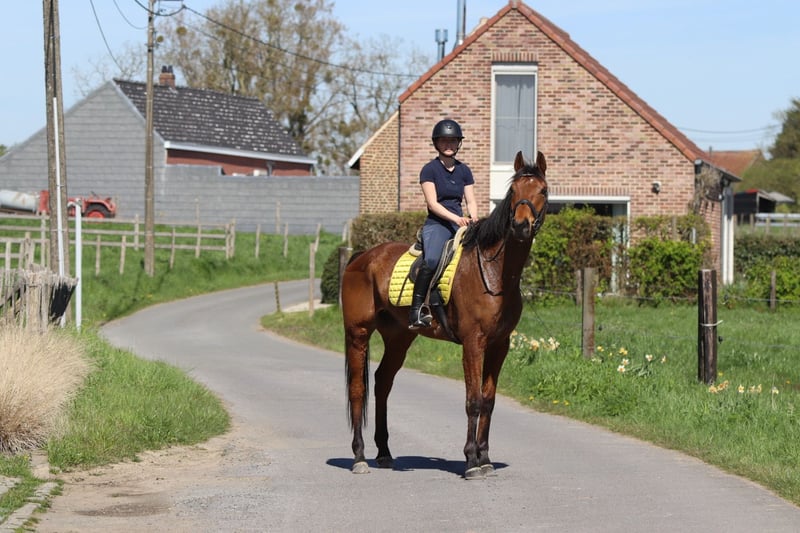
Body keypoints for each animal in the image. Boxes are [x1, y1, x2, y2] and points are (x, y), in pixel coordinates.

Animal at [342, 150, 548, 479]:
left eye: (541, 190)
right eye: (514, 191)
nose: (520, 226)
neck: (495, 272)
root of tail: (361, 257)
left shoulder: (499, 345)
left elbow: (488, 400)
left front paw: (485, 458)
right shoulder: (473, 343)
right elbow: (473, 401)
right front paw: (471, 461)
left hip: (398, 338)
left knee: (382, 382)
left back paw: (384, 452)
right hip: (358, 334)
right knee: (358, 389)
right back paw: (360, 457)